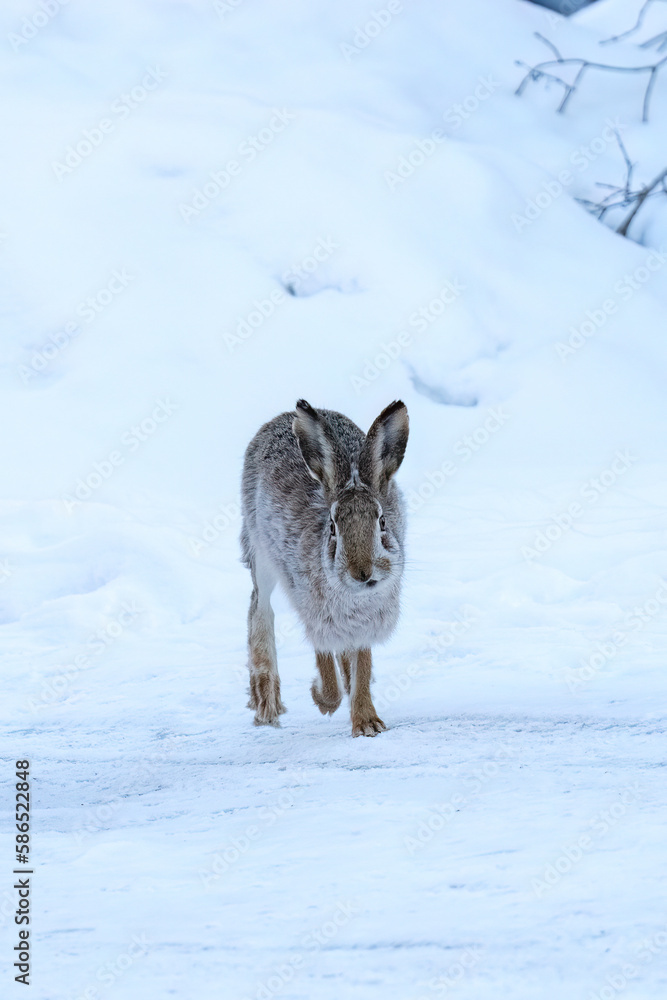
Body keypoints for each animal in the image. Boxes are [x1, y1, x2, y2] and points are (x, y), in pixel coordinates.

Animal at [240, 399, 409, 737]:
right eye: (333, 527)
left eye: (382, 522)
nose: (363, 572)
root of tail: (281, 418)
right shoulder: (314, 611)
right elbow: (326, 666)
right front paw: (321, 696)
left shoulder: (364, 625)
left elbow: (361, 666)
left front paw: (368, 723)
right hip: (261, 554)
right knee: (259, 608)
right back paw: (266, 704)